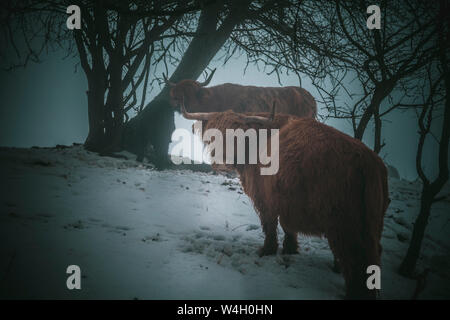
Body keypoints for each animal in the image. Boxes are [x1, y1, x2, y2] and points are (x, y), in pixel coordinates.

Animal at [181, 103, 388, 300]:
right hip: (372, 225)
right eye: (211, 137)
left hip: (343, 224)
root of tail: (367, 161)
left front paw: (267, 250)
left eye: (237, 136)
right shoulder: (288, 202)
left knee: (355, 260)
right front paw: (290, 249)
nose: (222, 163)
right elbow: (288, 227)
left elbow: (270, 226)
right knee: (371, 255)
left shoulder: (265, 200)